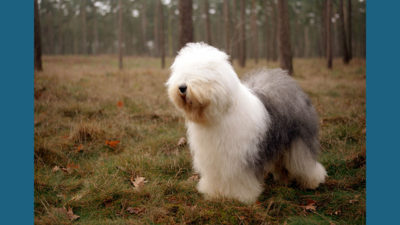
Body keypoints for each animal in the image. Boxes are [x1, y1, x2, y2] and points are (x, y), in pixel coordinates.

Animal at [166, 42, 324, 204]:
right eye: (181, 73)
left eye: (200, 74)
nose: (182, 87)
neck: (219, 116)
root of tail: (288, 79)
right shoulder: (213, 158)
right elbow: (215, 176)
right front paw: (214, 193)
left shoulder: (242, 156)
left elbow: (241, 178)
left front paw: (241, 196)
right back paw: (283, 179)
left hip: (298, 139)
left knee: (304, 161)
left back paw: (313, 181)